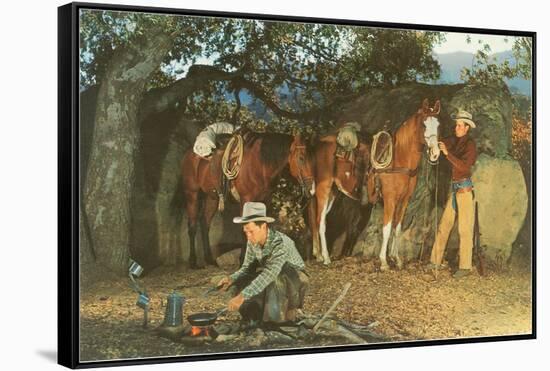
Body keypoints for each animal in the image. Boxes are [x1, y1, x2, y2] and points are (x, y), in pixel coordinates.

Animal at [182, 132, 314, 268]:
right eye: (301, 158)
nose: (311, 189)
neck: (259, 164)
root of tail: (189, 154)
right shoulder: (245, 200)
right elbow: (244, 229)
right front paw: (242, 261)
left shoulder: (264, 201)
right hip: (192, 194)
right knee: (192, 226)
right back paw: (193, 262)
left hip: (212, 198)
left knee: (205, 223)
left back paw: (209, 260)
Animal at [374, 99, 442, 272]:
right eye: (424, 124)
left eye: (438, 125)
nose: (435, 153)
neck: (399, 161)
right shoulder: (389, 200)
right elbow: (386, 228)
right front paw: (384, 262)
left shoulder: (404, 200)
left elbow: (397, 227)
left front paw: (396, 258)